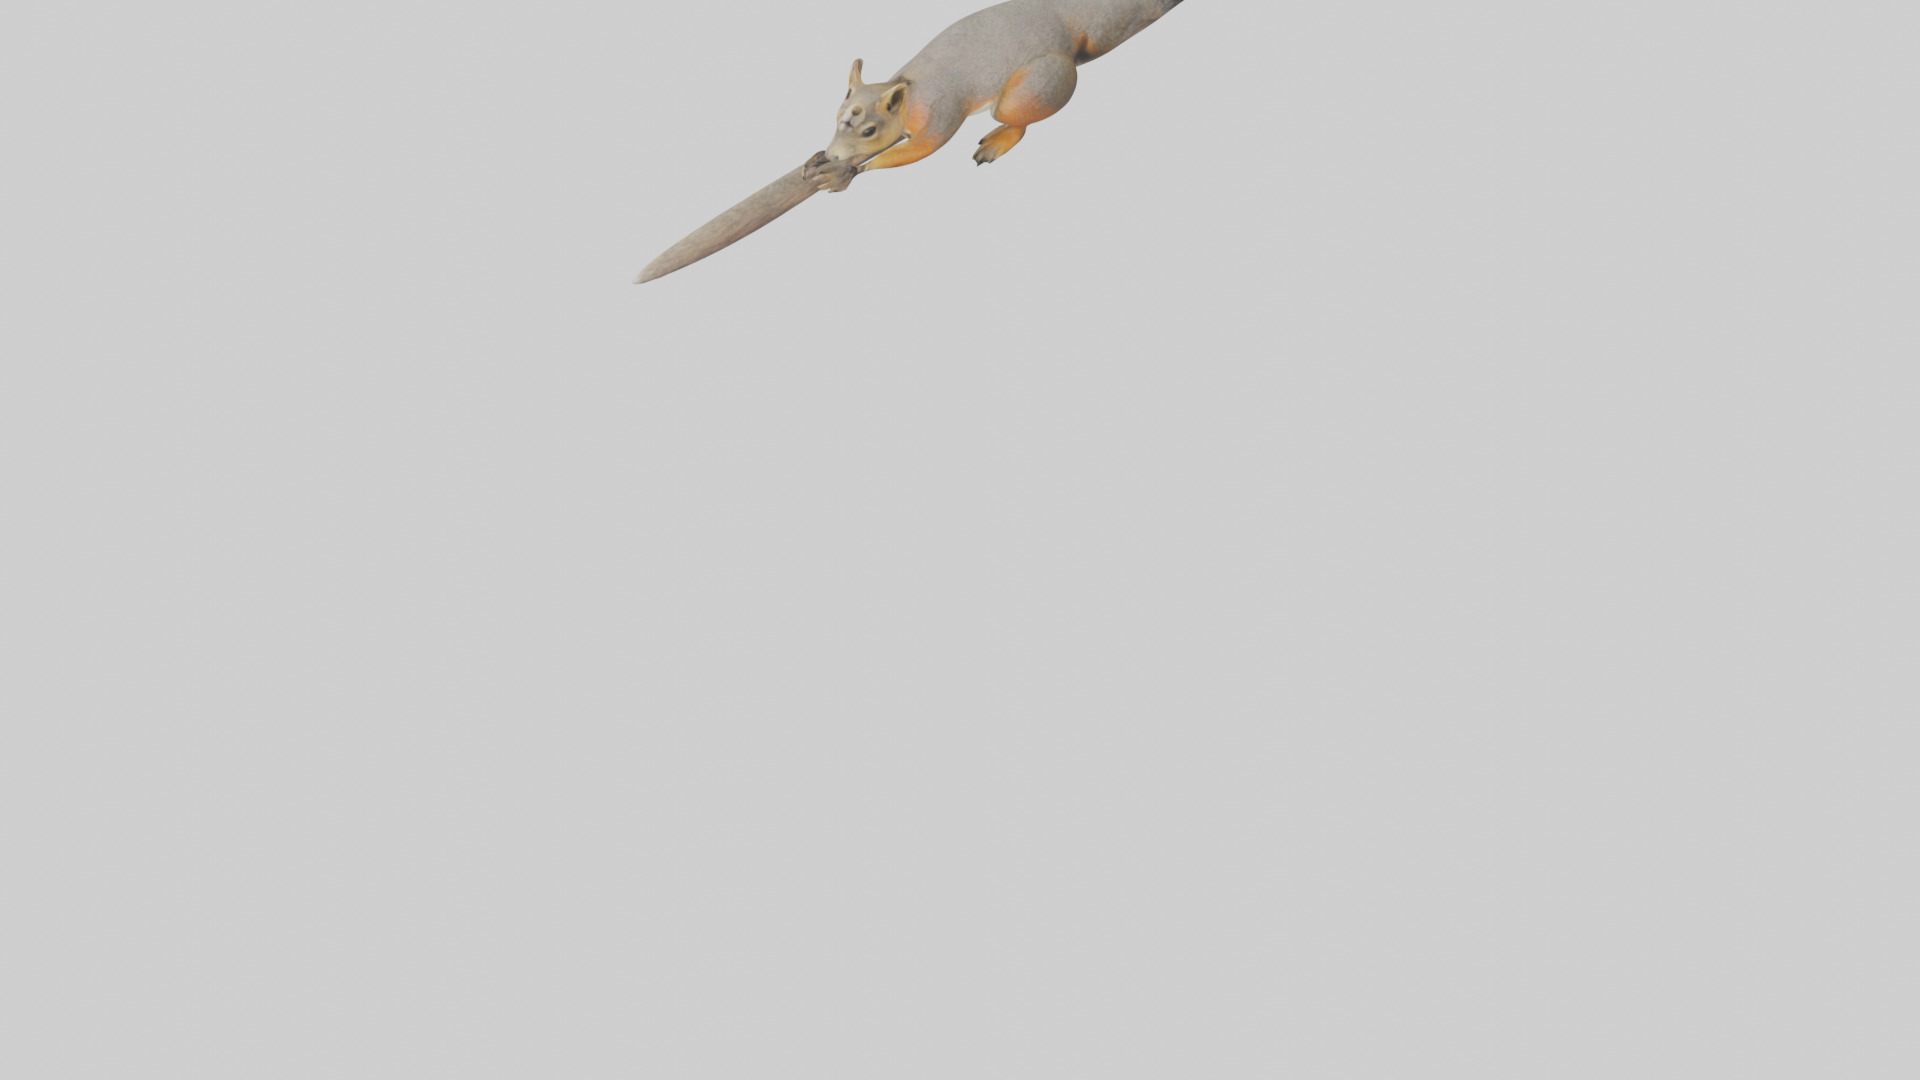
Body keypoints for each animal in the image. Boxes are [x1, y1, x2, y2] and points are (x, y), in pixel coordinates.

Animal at [801, 0, 1185, 193]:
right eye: (837, 115)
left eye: (870, 131)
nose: (833, 154)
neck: (909, 90)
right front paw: (820, 158)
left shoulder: (942, 110)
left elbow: (923, 148)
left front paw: (846, 171)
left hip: (1034, 86)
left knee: (1017, 119)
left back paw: (998, 140)